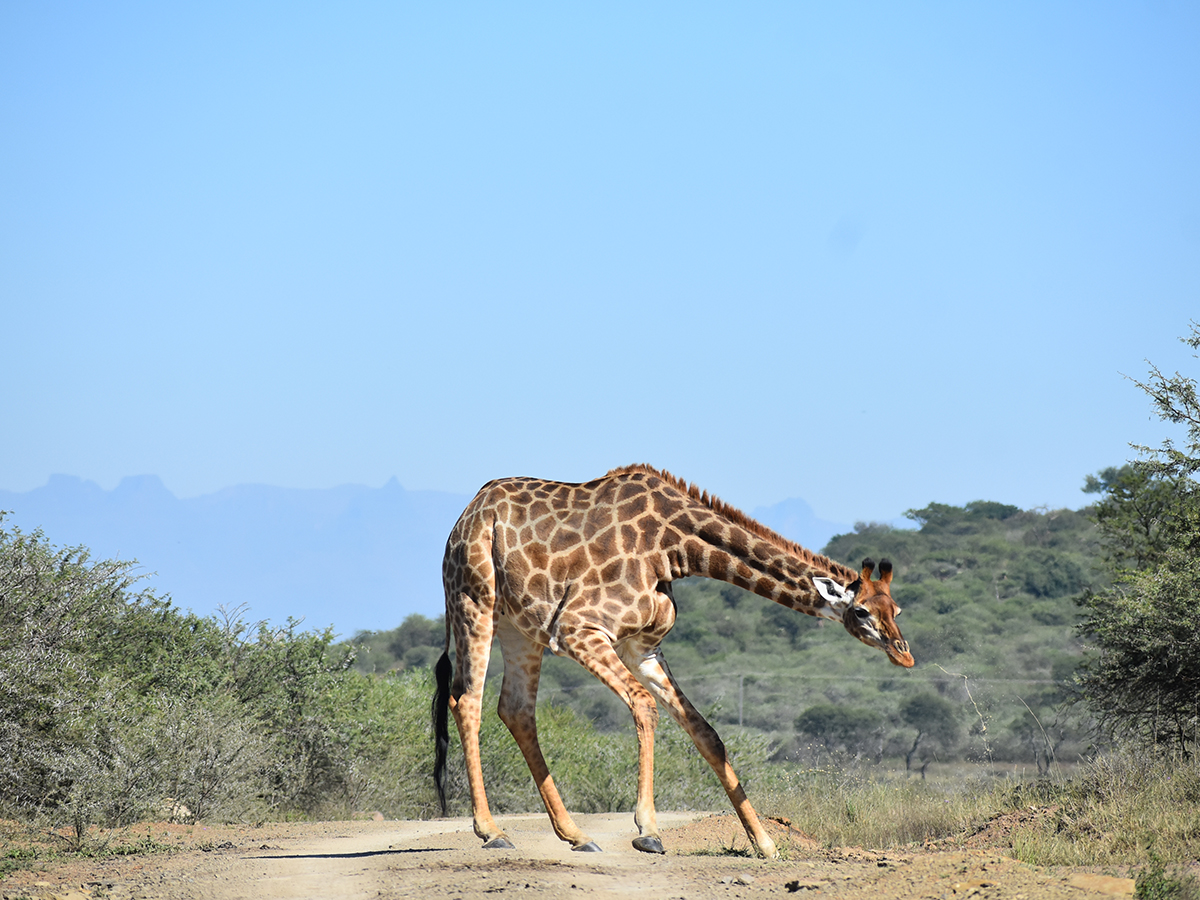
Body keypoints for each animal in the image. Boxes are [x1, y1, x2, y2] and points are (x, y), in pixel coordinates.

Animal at [432, 465, 907, 859]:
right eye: (861, 612)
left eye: (896, 609)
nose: (904, 653)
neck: (676, 550)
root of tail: (465, 516)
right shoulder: (578, 628)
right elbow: (644, 706)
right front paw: (648, 831)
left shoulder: (643, 648)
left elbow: (707, 734)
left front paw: (765, 842)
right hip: (475, 599)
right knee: (467, 701)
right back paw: (492, 832)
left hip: (520, 626)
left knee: (515, 709)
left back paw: (576, 835)